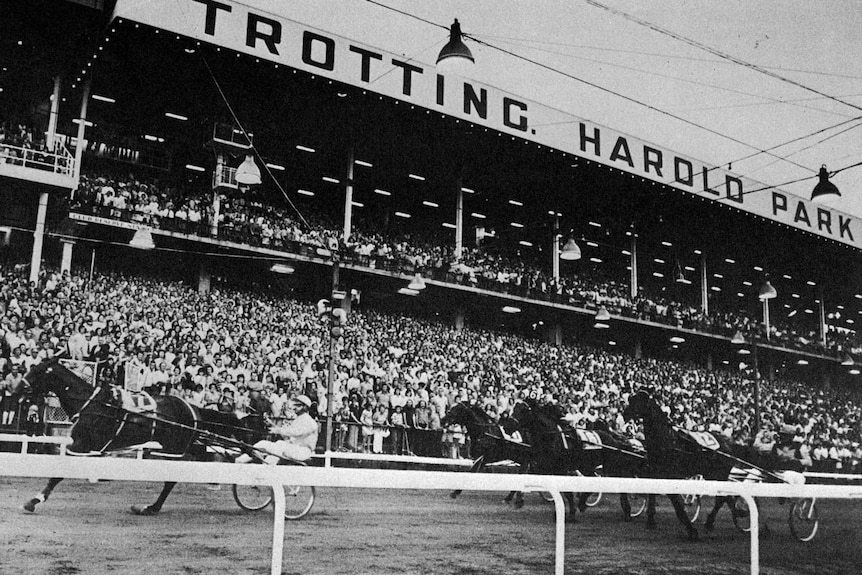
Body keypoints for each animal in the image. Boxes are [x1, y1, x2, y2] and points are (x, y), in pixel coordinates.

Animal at [21, 358, 270, 516]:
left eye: (37, 371)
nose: (17, 389)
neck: (94, 403)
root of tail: (192, 408)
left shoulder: (83, 445)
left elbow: (57, 474)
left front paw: (34, 500)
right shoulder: (83, 446)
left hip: (174, 448)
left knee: (171, 480)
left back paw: (152, 507)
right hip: (183, 444)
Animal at [512, 398, 648, 524]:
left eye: (523, 410)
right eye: (514, 408)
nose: (510, 424)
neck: (553, 437)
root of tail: (614, 440)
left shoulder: (561, 470)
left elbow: (567, 493)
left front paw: (571, 514)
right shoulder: (544, 467)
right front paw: (519, 500)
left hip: (611, 466)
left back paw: (627, 511)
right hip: (587, 466)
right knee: (594, 478)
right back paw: (583, 503)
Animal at [624, 390, 744, 544]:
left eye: (639, 401)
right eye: (631, 399)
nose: (625, 413)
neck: (667, 441)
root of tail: (729, 443)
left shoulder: (670, 476)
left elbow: (678, 505)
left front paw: (691, 531)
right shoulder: (655, 473)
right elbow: (654, 496)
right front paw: (650, 521)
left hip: (718, 474)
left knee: (722, 497)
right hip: (712, 475)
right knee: (724, 497)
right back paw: (717, 519)